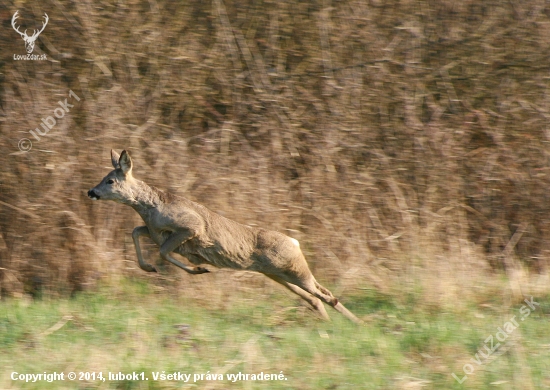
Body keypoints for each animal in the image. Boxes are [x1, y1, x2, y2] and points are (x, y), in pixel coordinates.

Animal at [87, 149, 362, 322]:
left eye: (110, 181)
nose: (91, 192)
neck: (150, 208)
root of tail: (295, 241)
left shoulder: (191, 226)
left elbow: (164, 252)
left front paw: (199, 269)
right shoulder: (153, 231)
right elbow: (135, 231)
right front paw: (149, 268)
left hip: (294, 269)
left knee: (326, 295)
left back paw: (357, 324)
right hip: (277, 273)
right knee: (315, 299)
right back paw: (335, 323)